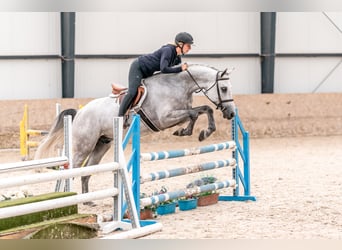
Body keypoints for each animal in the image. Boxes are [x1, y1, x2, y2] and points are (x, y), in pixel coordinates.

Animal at [34, 63, 235, 202]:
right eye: (224, 88)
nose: (231, 113)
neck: (178, 85)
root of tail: (80, 112)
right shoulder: (165, 118)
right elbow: (194, 113)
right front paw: (188, 132)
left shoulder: (179, 113)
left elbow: (204, 109)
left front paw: (202, 132)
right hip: (84, 145)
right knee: (70, 169)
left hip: (101, 145)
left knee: (87, 171)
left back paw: (87, 201)